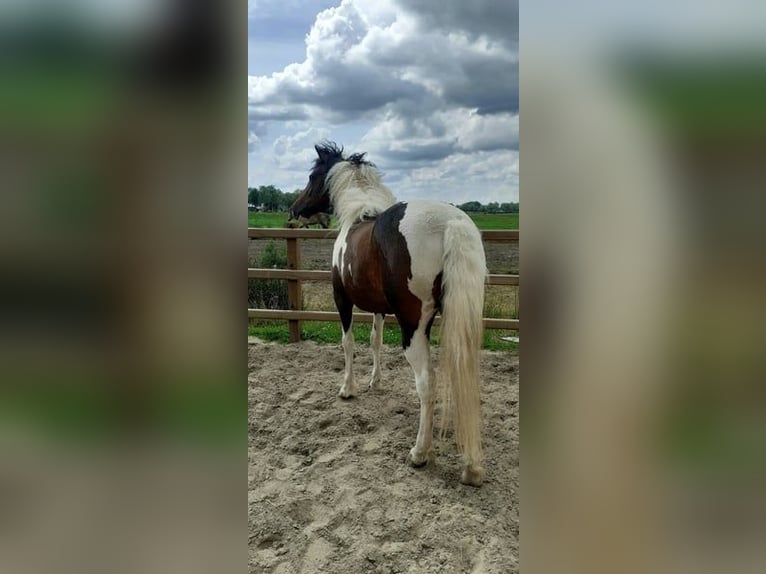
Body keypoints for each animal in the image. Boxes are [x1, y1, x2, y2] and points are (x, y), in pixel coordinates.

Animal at [290, 142, 487, 486]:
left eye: (313, 176)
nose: (294, 209)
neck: (358, 215)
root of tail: (450, 223)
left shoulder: (341, 299)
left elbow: (348, 343)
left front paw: (348, 389)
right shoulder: (379, 309)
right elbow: (375, 341)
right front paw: (376, 382)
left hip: (413, 327)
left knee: (426, 382)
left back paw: (420, 453)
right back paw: (472, 467)